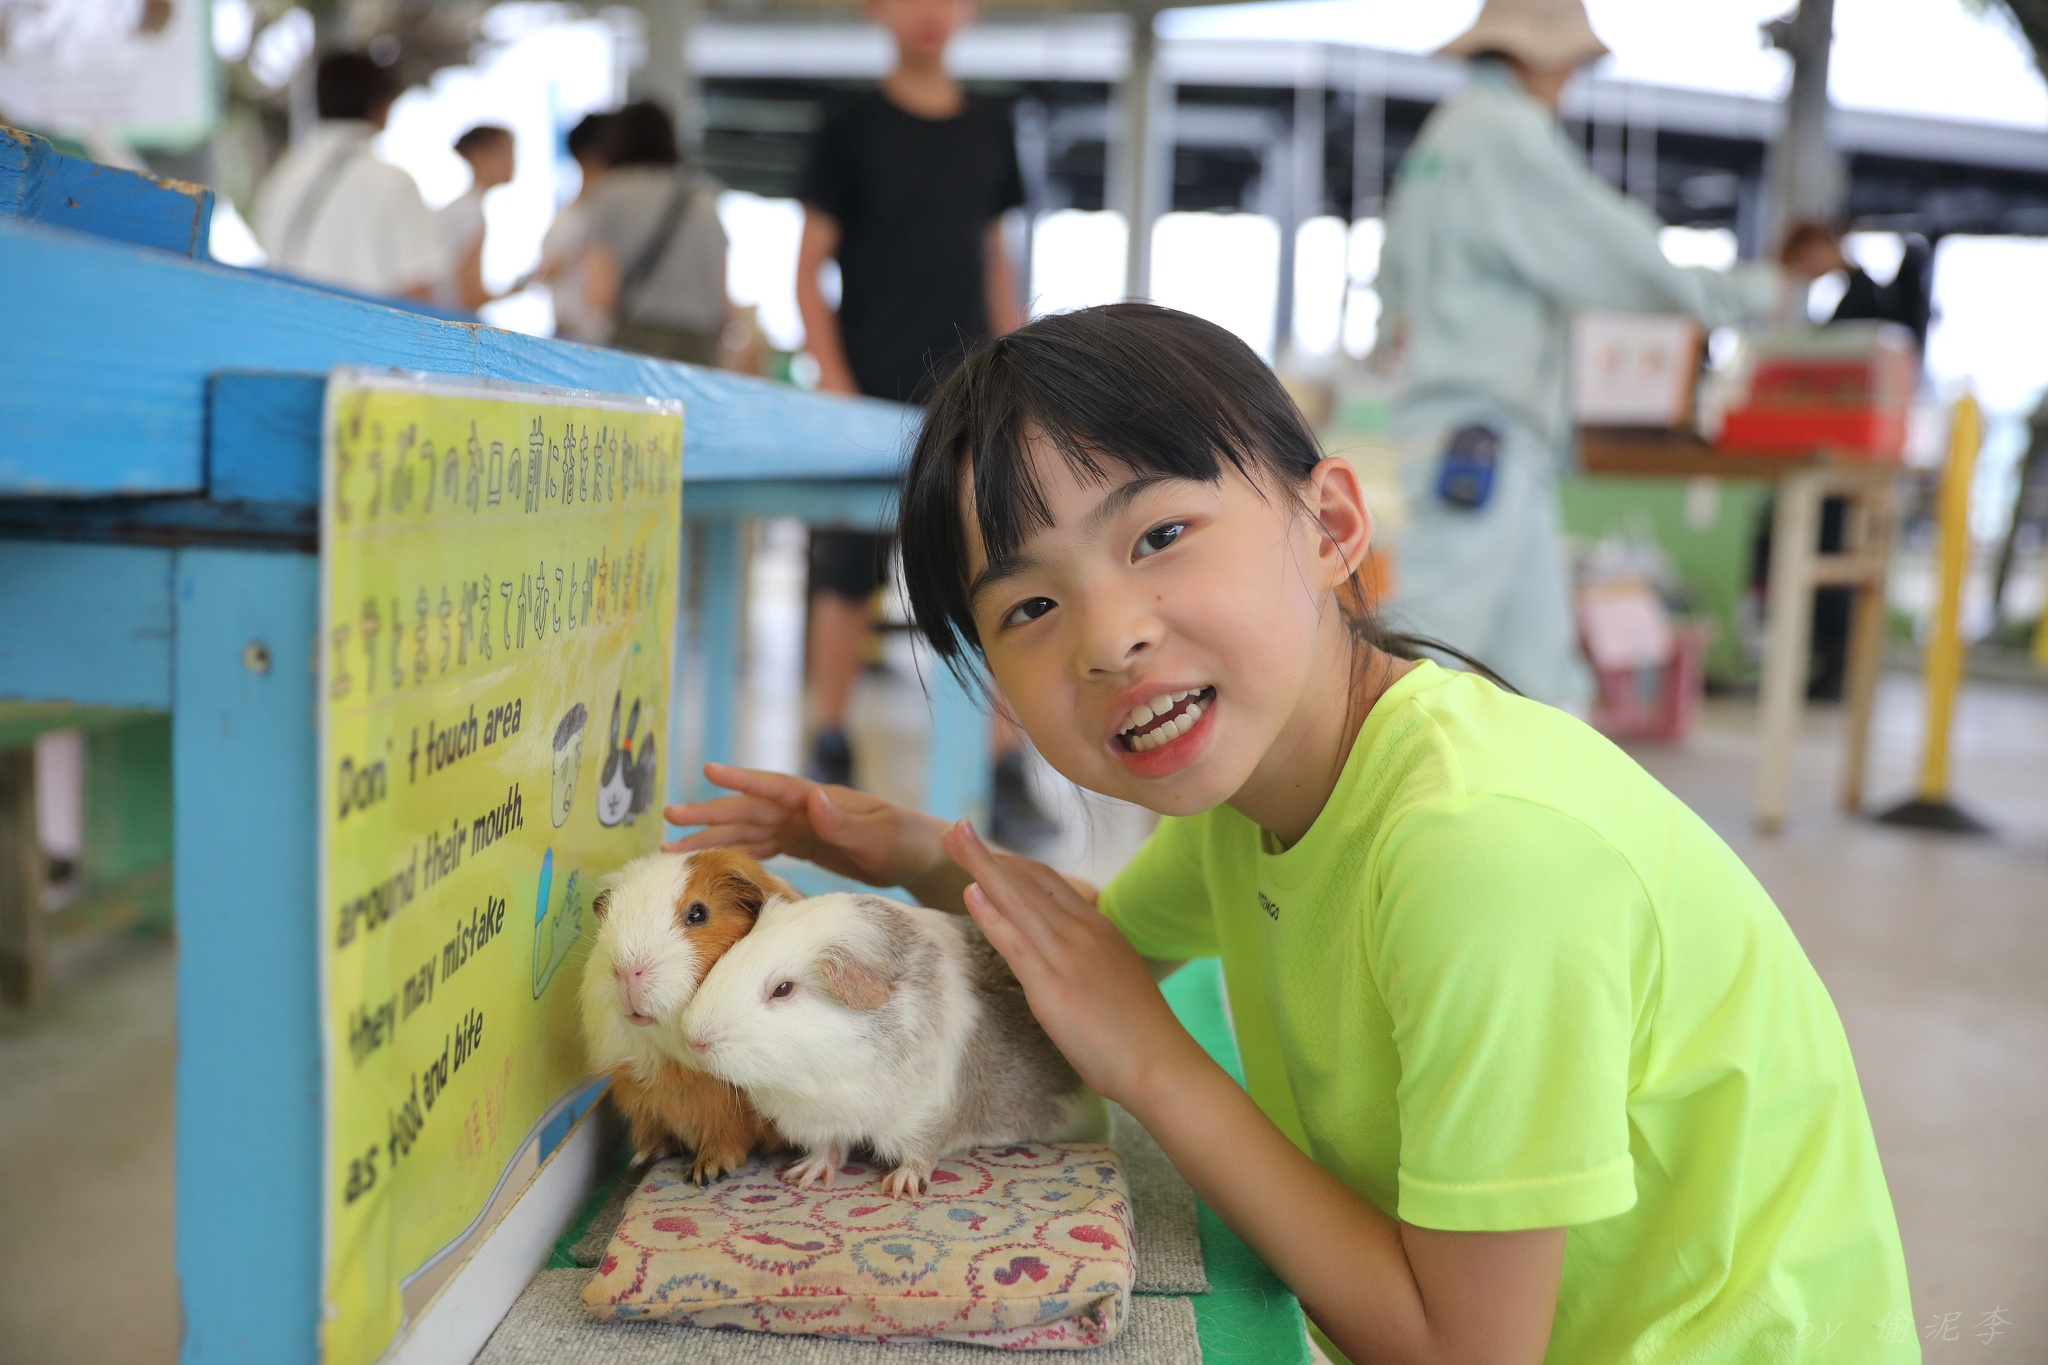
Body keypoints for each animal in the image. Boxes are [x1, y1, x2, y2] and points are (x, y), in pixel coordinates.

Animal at [579, 848, 795, 1183]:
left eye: (697, 913)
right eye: (609, 918)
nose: (626, 971)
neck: (668, 1058)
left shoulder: (731, 1110)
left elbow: (727, 1137)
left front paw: (706, 1173)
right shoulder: (639, 1094)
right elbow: (652, 1127)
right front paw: (643, 1157)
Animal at [681, 891, 1105, 1198]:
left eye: (783, 989)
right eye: (732, 957)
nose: (694, 1038)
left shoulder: (926, 1113)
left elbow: (922, 1153)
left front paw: (901, 1188)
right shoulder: (826, 1122)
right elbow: (828, 1149)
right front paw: (802, 1176)